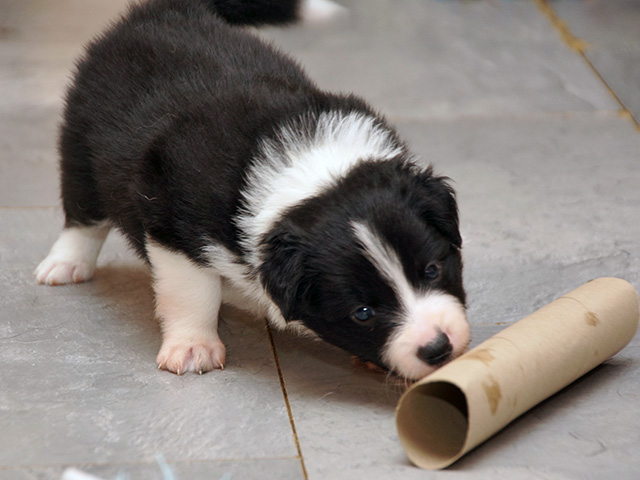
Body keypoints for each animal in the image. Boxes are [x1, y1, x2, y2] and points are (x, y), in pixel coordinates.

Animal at [35, 0, 470, 381]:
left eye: (433, 269)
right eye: (362, 312)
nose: (438, 348)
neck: (306, 170)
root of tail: (163, 10)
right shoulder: (171, 224)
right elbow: (192, 290)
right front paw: (193, 347)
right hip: (80, 146)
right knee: (83, 215)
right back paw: (65, 265)